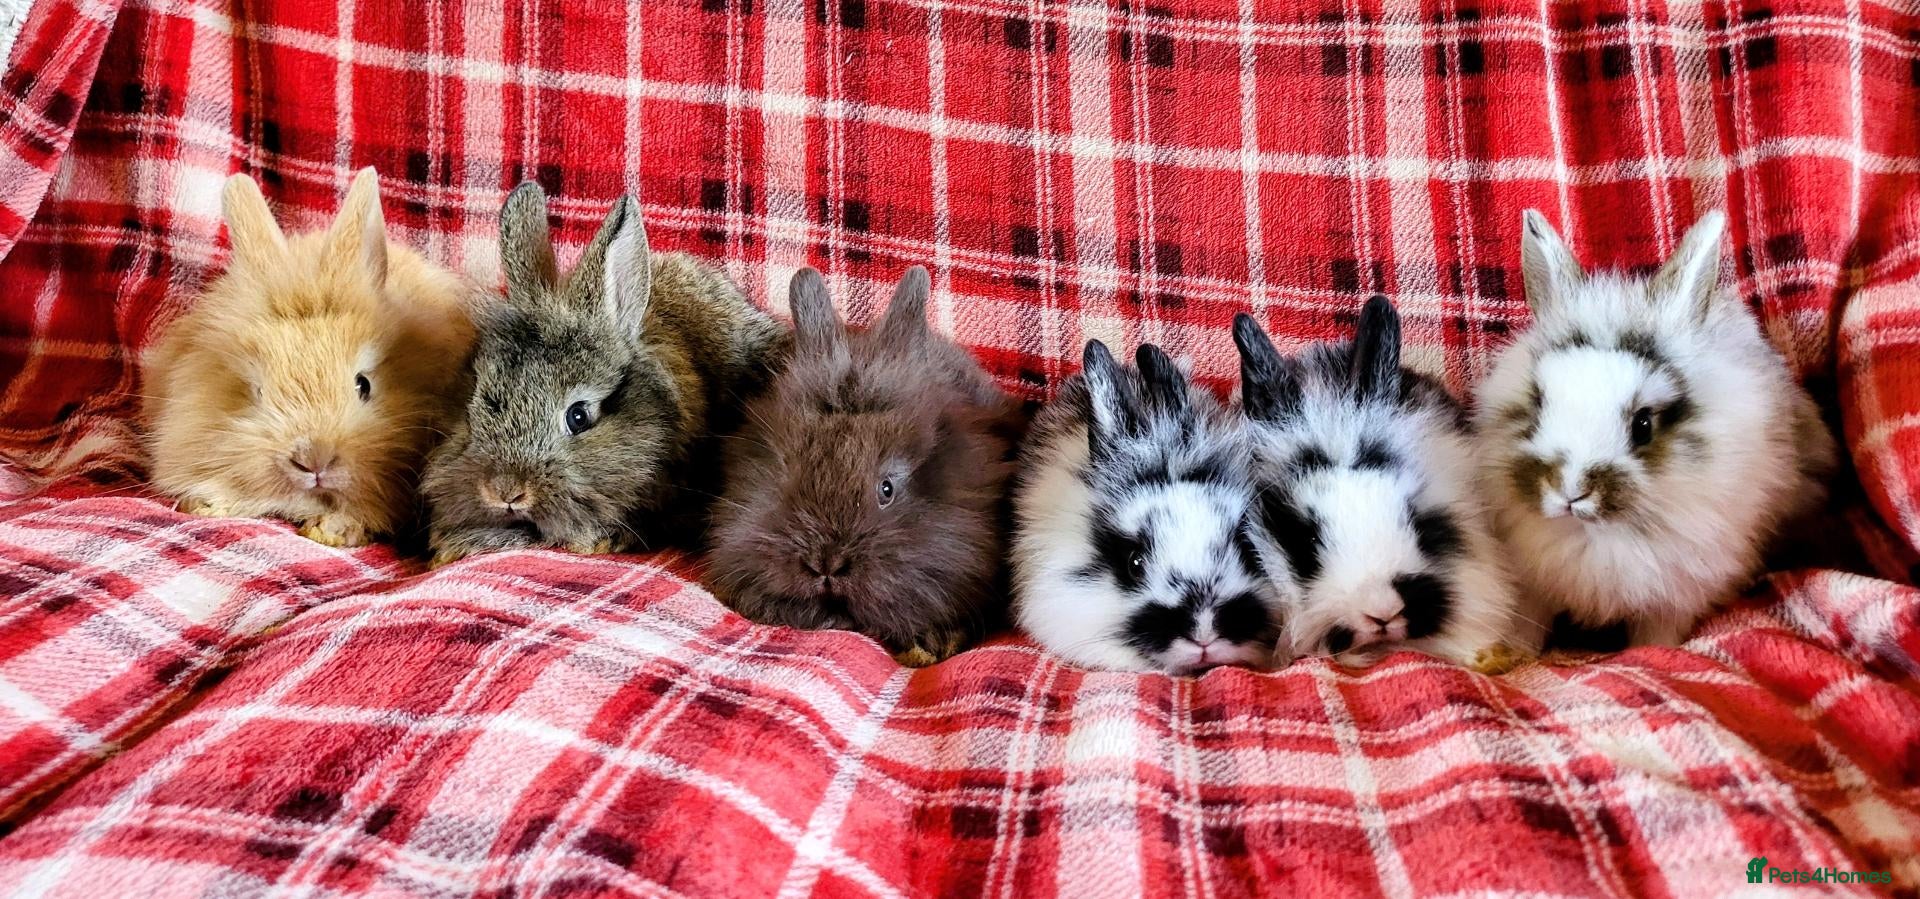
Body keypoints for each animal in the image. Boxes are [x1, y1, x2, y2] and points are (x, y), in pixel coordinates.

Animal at [1474, 209, 1838, 647]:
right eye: (1539, 403)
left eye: (1643, 424)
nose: (1569, 489)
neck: (1596, 533)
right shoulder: (1533, 587)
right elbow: (1527, 624)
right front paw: (1516, 653)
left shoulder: (1676, 595)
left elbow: (1656, 638)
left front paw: (1653, 651)